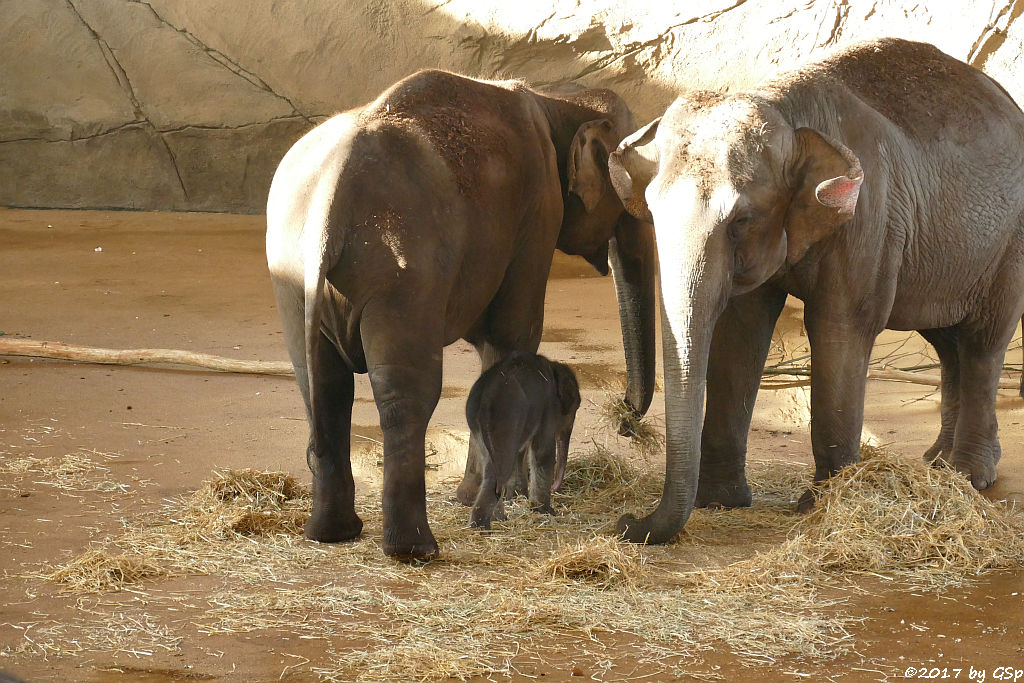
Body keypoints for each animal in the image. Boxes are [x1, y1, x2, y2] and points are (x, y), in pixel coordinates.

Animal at [466, 350, 581, 532]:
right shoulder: (548, 406)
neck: (553, 366)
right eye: (575, 408)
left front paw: (520, 497)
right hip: (505, 419)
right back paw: (481, 527)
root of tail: (485, 400)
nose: (555, 488)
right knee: (498, 470)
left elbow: (520, 453)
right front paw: (544, 511)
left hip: (478, 424)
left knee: (493, 464)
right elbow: (542, 452)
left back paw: (498, 519)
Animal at [606, 40, 1024, 548]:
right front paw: (719, 501)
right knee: (947, 342)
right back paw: (938, 465)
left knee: (983, 341)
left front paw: (824, 505)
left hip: (1010, 243)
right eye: (649, 209)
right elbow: (740, 331)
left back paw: (967, 475)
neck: (784, 107)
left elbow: (839, 328)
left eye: (741, 220)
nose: (626, 521)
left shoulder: (869, 217)